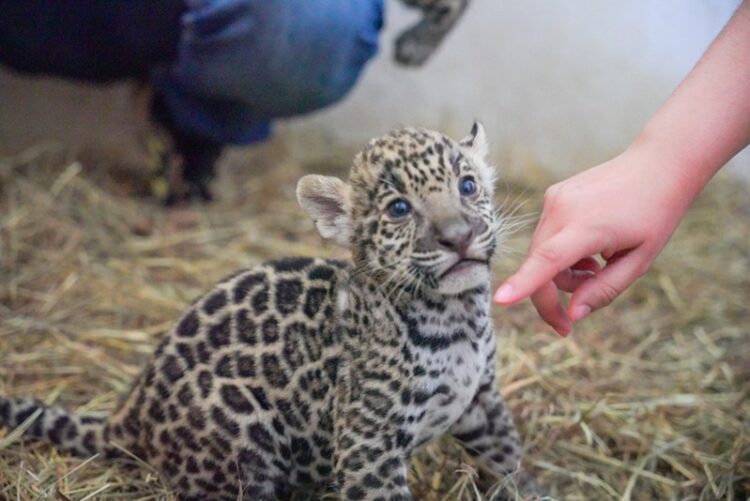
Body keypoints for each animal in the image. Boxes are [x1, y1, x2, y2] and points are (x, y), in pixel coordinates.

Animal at [0, 123, 531, 500]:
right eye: (399, 209)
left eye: (467, 186)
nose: (458, 237)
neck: (457, 318)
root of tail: (131, 410)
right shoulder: (369, 445)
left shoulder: (482, 400)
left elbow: (509, 459)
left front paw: (532, 490)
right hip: (241, 437)